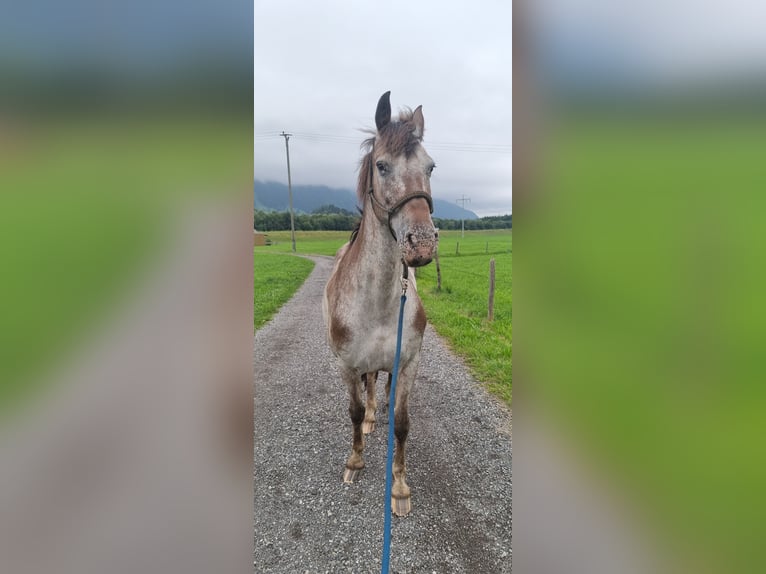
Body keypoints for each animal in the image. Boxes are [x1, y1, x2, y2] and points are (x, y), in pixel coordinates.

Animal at [320, 91, 438, 516]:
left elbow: (402, 423)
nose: (422, 243)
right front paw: (355, 461)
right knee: (369, 385)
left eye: (430, 167)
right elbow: (354, 411)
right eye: (382, 166)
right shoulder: (345, 364)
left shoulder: (409, 363)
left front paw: (399, 486)